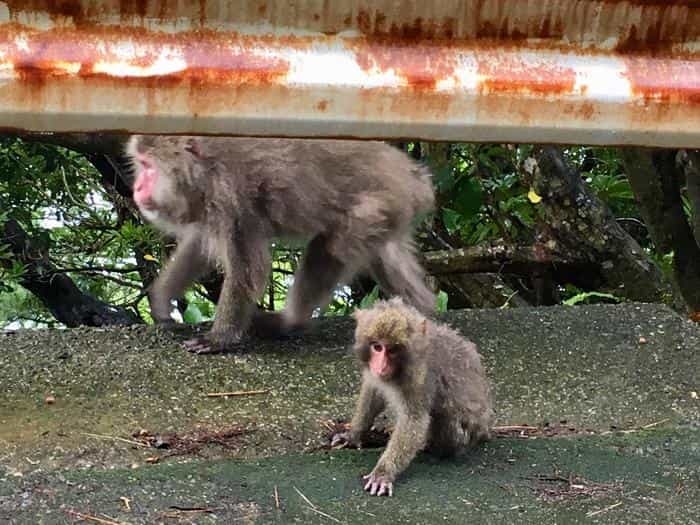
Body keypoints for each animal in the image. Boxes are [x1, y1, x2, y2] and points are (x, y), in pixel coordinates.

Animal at [126, 135, 432, 352]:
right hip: (392, 212)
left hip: (379, 205)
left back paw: (291, 321)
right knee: (383, 253)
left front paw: (219, 338)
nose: (136, 188)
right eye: (140, 163)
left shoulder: (231, 198)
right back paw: (424, 311)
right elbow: (197, 247)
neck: (206, 167)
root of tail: (416, 179)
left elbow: (247, 272)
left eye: (148, 167)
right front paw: (161, 300)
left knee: (332, 245)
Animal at [332, 296, 492, 498]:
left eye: (392, 350)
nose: (381, 366)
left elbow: (414, 420)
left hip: (466, 434)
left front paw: (383, 472)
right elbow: (373, 391)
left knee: (446, 417)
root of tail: (486, 427)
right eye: (377, 347)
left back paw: (437, 450)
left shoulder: (420, 377)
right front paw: (353, 434)